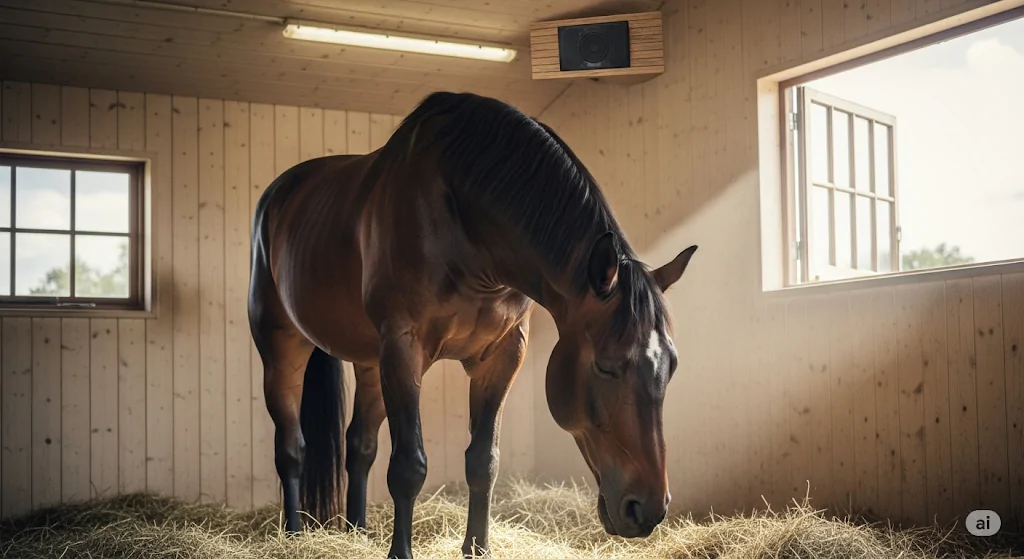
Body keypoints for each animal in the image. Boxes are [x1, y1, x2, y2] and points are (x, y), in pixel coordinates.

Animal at [247, 91, 698, 559]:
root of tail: (279, 196)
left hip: (371, 362)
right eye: (606, 366)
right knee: (291, 448)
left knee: (360, 446)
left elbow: (483, 460)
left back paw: (357, 533)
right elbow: (409, 465)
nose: (648, 510)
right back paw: (295, 535)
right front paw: (401, 552)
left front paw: (477, 548)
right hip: (283, 349)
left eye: (671, 366)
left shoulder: (501, 356)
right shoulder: (404, 349)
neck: (465, 225)